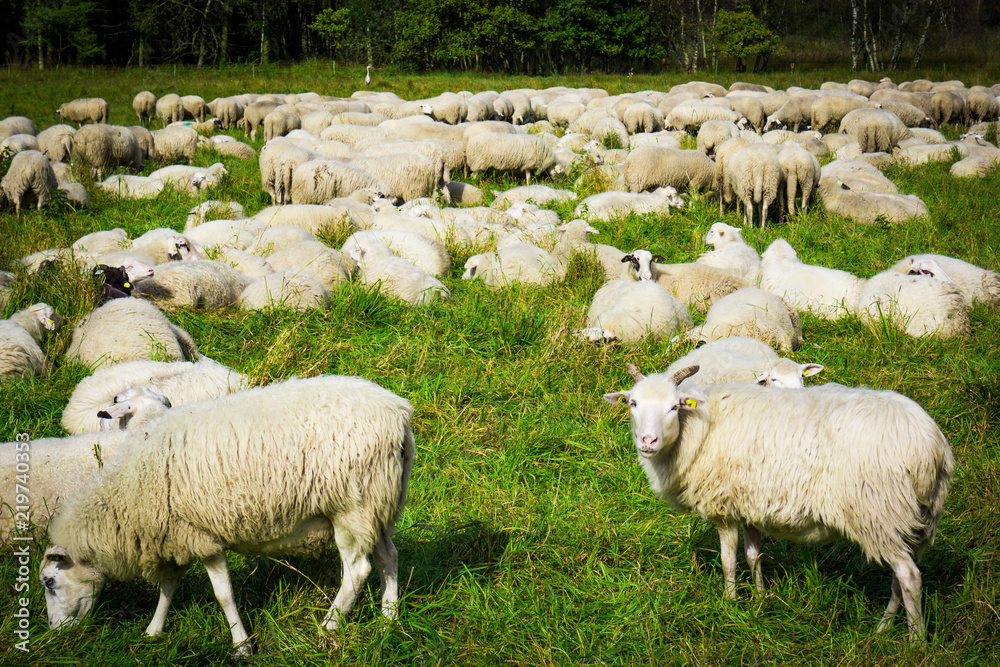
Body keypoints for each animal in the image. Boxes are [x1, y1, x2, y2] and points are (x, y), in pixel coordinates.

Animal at [39, 374, 415, 656]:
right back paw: (389, 620)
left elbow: (223, 595)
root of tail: (399, 414)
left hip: (351, 507)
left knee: (358, 570)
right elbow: (168, 587)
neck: (128, 490)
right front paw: (153, 631)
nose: (55, 632)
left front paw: (241, 646)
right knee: (389, 557)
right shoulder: (175, 535)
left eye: (49, 582)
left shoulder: (201, 537)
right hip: (376, 504)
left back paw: (329, 625)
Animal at [602, 364, 953, 642]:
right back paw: (883, 628)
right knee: (900, 578)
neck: (698, 429)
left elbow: (729, 561)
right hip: (907, 517)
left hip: (877, 510)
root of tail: (929, 446)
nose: (648, 441)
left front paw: (730, 604)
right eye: (633, 403)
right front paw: (759, 599)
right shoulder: (749, 504)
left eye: (675, 406)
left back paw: (916, 641)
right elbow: (753, 555)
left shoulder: (723, 505)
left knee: (909, 576)